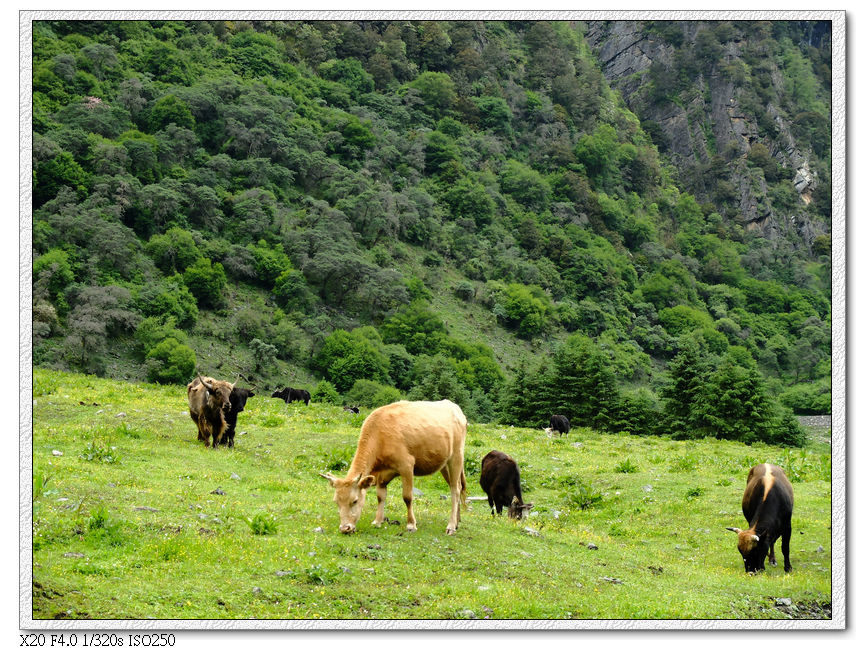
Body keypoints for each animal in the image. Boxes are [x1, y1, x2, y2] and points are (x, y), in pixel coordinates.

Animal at [318, 398, 466, 536]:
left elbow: (407, 497)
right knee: (455, 486)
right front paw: (378, 521)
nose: (345, 528)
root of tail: (454, 407)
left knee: (455, 490)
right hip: (444, 464)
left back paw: (451, 526)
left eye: (354, 501)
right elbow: (380, 496)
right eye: (336, 502)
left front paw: (411, 525)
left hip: (456, 457)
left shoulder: (407, 465)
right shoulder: (382, 474)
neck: (379, 436)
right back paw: (457, 521)